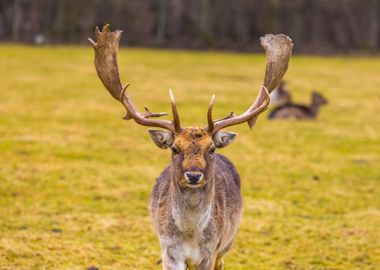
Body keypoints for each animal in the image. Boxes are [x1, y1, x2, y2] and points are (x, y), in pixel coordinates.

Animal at [90, 24, 294, 268]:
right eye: (175, 148)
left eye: (211, 149)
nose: (194, 175)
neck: (189, 235)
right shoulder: (168, 251)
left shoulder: (210, 251)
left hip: (227, 243)